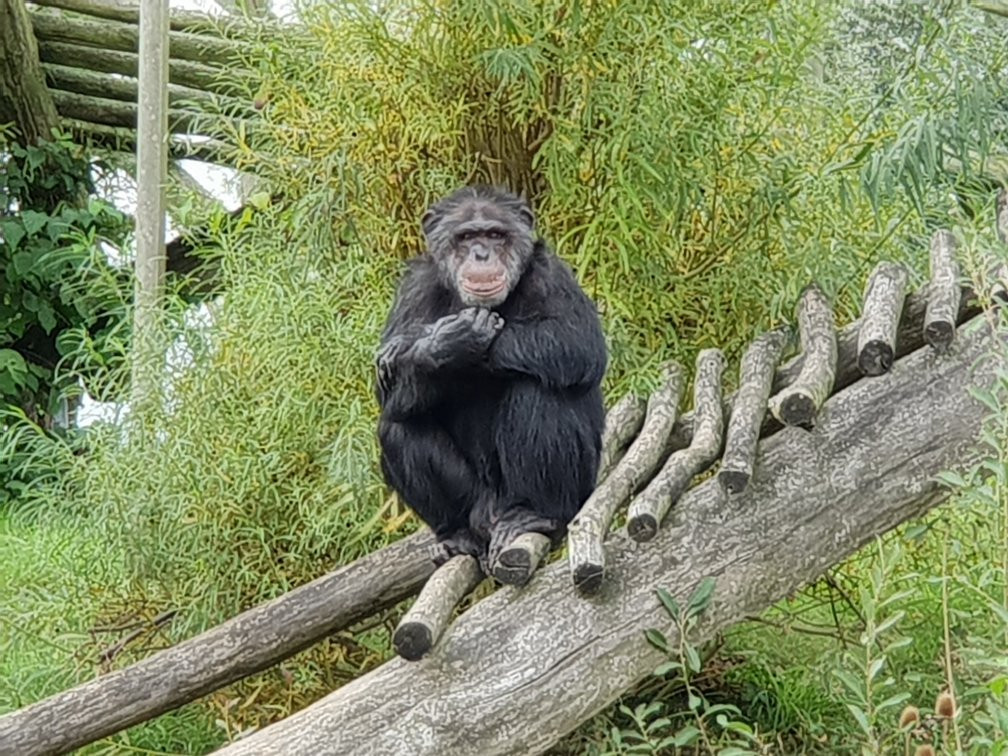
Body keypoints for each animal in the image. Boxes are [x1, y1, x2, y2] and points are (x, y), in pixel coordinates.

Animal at [372, 186, 600, 576]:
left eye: (495, 234)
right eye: (466, 237)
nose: (481, 253)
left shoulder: (551, 274)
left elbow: (578, 340)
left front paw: (429, 338)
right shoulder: (413, 287)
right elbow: (387, 394)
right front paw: (443, 342)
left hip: (578, 486)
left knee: (539, 390)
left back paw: (535, 514)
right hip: (477, 504)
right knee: (398, 425)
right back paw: (458, 535)